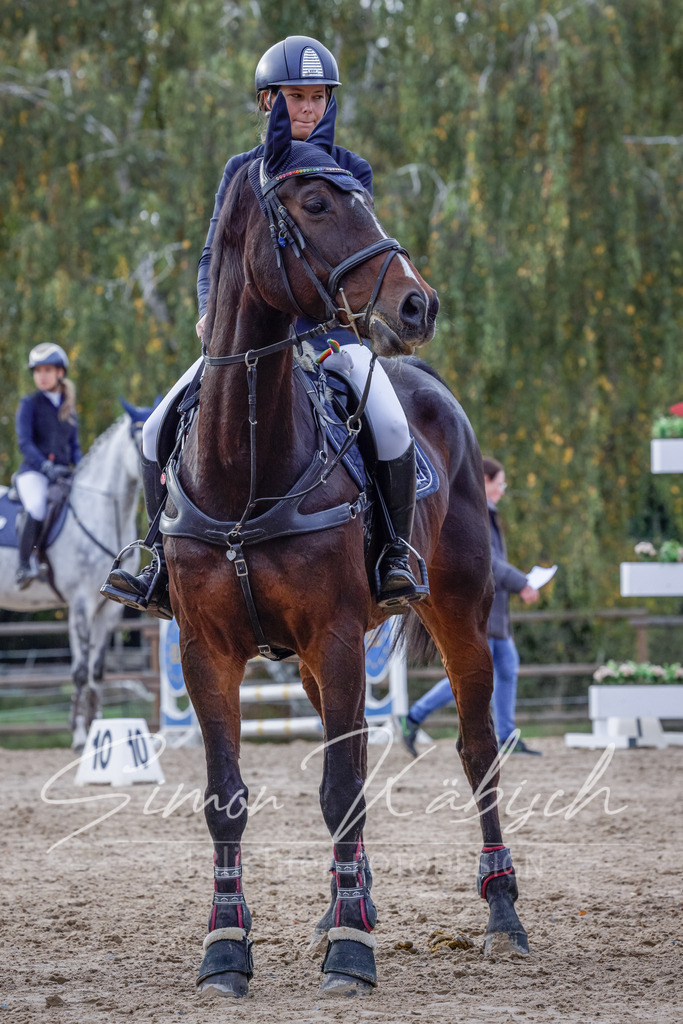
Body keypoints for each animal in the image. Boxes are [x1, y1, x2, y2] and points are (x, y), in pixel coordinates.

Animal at [0, 402, 150, 749]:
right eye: (138, 439)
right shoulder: (81, 603)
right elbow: (79, 671)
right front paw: (80, 735)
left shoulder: (109, 608)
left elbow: (97, 671)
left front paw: (99, 731)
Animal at [161, 94, 528, 997]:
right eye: (317, 203)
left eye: (360, 193)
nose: (417, 306)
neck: (246, 465)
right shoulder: (205, 649)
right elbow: (227, 797)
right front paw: (226, 951)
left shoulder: (331, 633)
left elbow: (341, 789)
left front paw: (353, 956)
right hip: (315, 659)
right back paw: (341, 907)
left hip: (459, 618)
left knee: (476, 750)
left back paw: (500, 913)